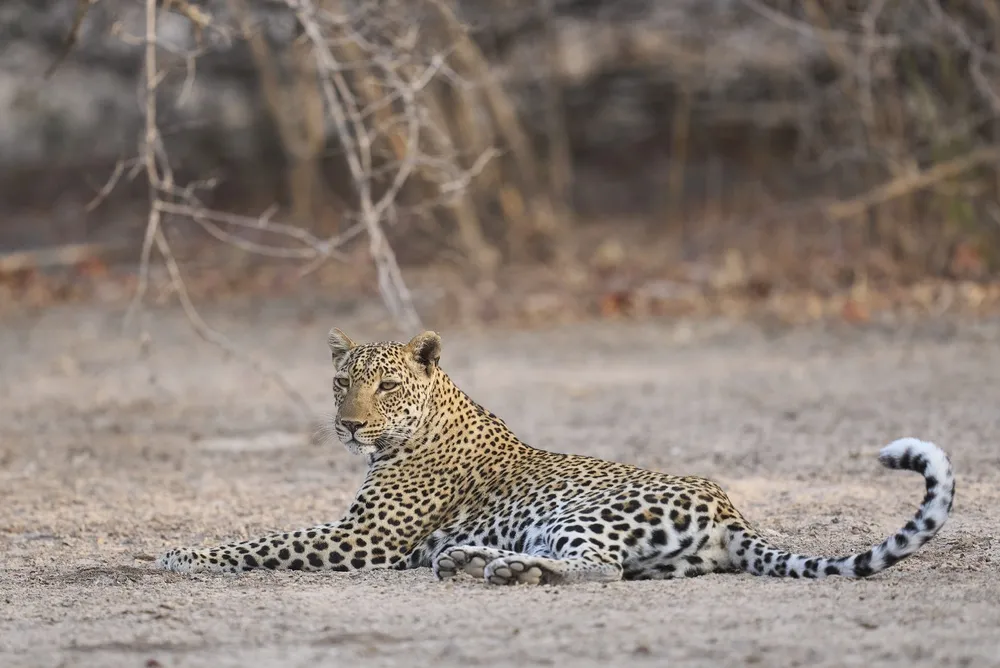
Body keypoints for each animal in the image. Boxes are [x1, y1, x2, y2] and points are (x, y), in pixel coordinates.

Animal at [156, 328, 956, 585]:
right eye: (340, 381)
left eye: (385, 385)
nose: (349, 425)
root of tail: (731, 511)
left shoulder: (365, 538)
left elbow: (262, 540)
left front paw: (181, 554)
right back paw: (475, 562)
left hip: (585, 513)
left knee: (599, 569)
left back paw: (501, 571)